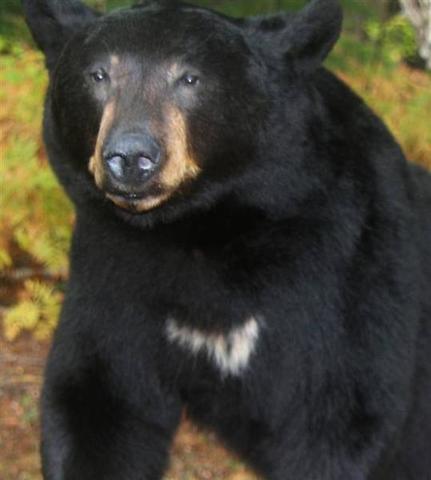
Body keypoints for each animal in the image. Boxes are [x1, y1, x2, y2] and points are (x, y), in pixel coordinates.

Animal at [22, 0, 431, 479]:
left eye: (190, 78)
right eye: (99, 74)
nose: (131, 156)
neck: (207, 229)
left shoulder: (349, 272)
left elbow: (341, 416)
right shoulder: (114, 270)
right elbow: (100, 398)